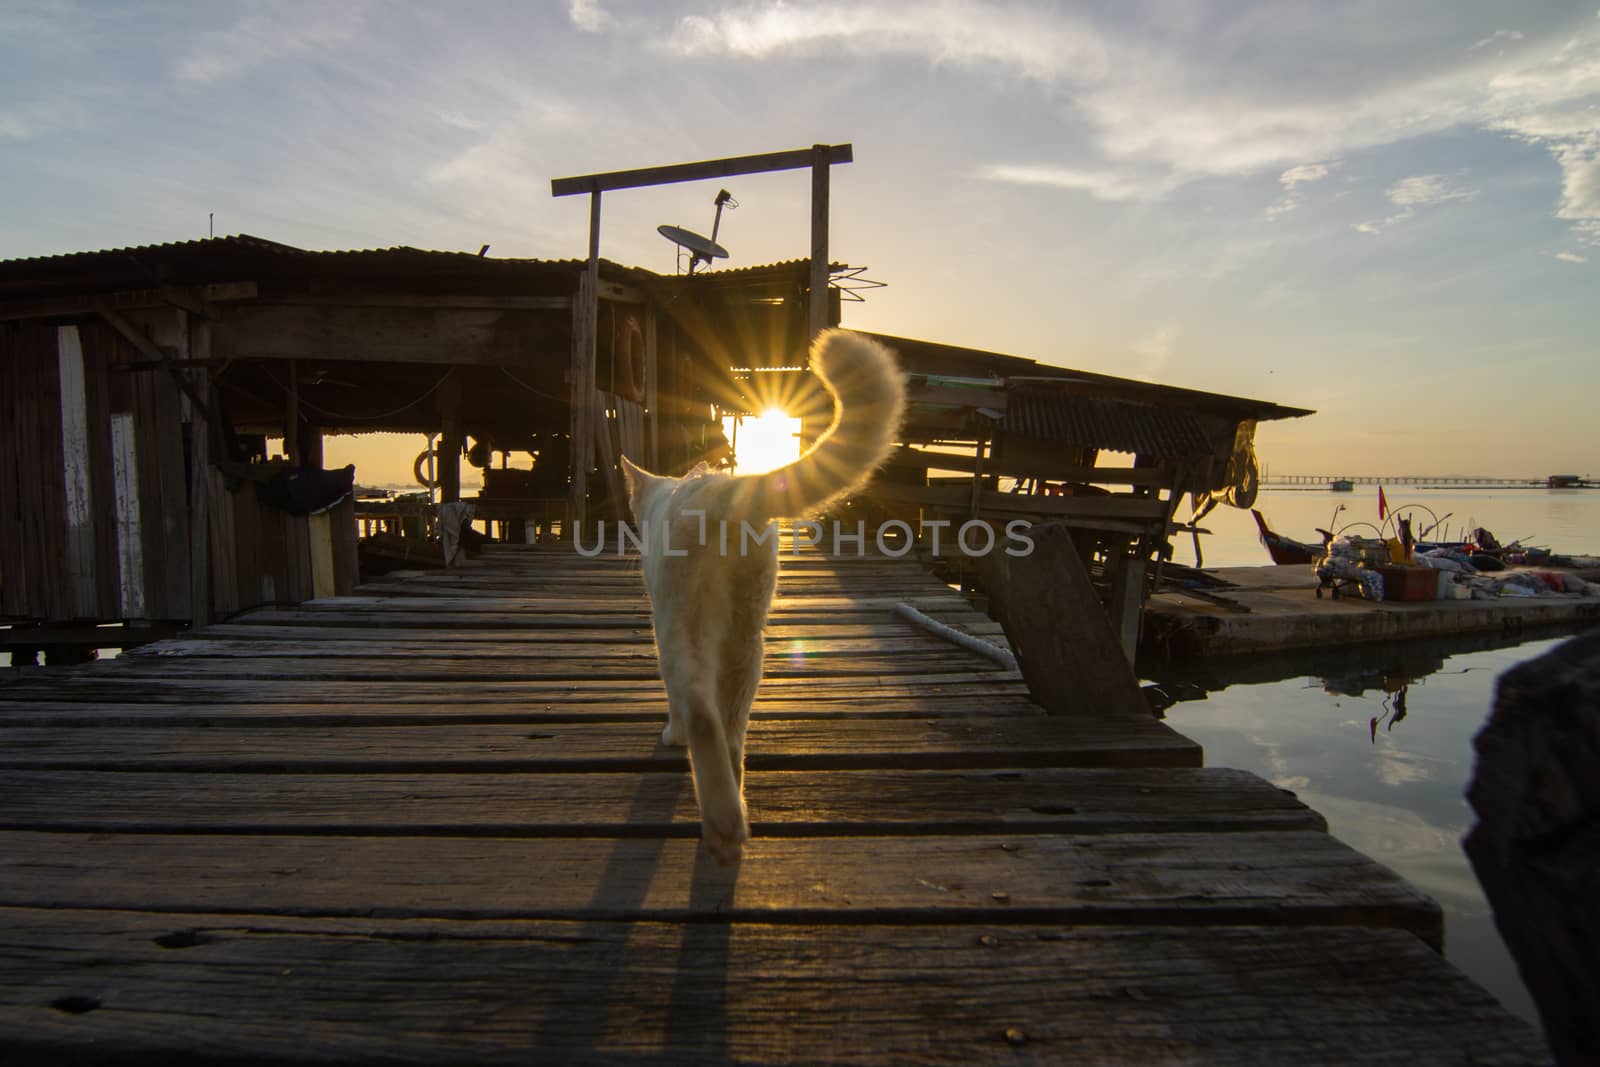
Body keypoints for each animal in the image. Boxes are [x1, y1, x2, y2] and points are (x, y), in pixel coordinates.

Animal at [617, 329, 908, 863]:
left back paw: (722, 826)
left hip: (682, 623)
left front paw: (671, 735)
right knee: (733, 729)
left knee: (701, 711)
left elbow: (675, 701)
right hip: (748, 639)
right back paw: (737, 810)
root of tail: (724, 492)